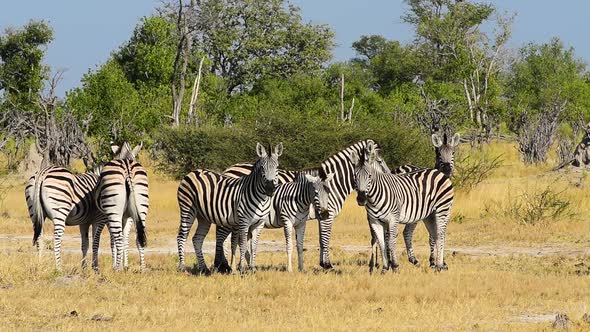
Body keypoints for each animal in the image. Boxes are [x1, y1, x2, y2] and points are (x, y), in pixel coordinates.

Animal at [96, 142, 149, 270]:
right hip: (141, 208)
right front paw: (125, 265)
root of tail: (127, 167)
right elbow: (126, 239)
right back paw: (142, 268)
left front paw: (116, 264)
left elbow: (113, 241)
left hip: (113, 211)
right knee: (139, 238)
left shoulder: (108, 218)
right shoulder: (128, 217)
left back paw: (117, 269)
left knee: (118, 239)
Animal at [177, 141, 284, 274]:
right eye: (262, 169)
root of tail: (193, 171)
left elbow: (254, 246)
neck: (262, 199)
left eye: (277, 168)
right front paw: (242, 269)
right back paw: (182, 267)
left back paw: (204, 268)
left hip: (203, 217)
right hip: (187, 209)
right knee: (181, 236)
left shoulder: (259, 223)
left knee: (197, 239)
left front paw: (252, 268)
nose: (270, 189)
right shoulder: (244, 222)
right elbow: (242, 244)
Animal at [220, 140, 390, 270]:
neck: (333, 182)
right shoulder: (328, 215)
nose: (390, 176)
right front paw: (327, 265)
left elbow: (321, 239)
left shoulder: (322, 214)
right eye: (380, 161)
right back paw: (224, 266)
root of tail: (228, 168)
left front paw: (322, 263)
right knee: (224, 237)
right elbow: (325, 239)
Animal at [354, 142, 456, 272]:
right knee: (436, 235)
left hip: (436, 211)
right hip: (431, 214)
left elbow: (390, 240)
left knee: (439, 234)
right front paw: (387, 267)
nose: (361, 199)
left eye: (369, 176)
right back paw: (437, 264)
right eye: (355, 176)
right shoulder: (376, 220)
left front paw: (392, 265)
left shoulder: (395, 217)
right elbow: (384, 241)